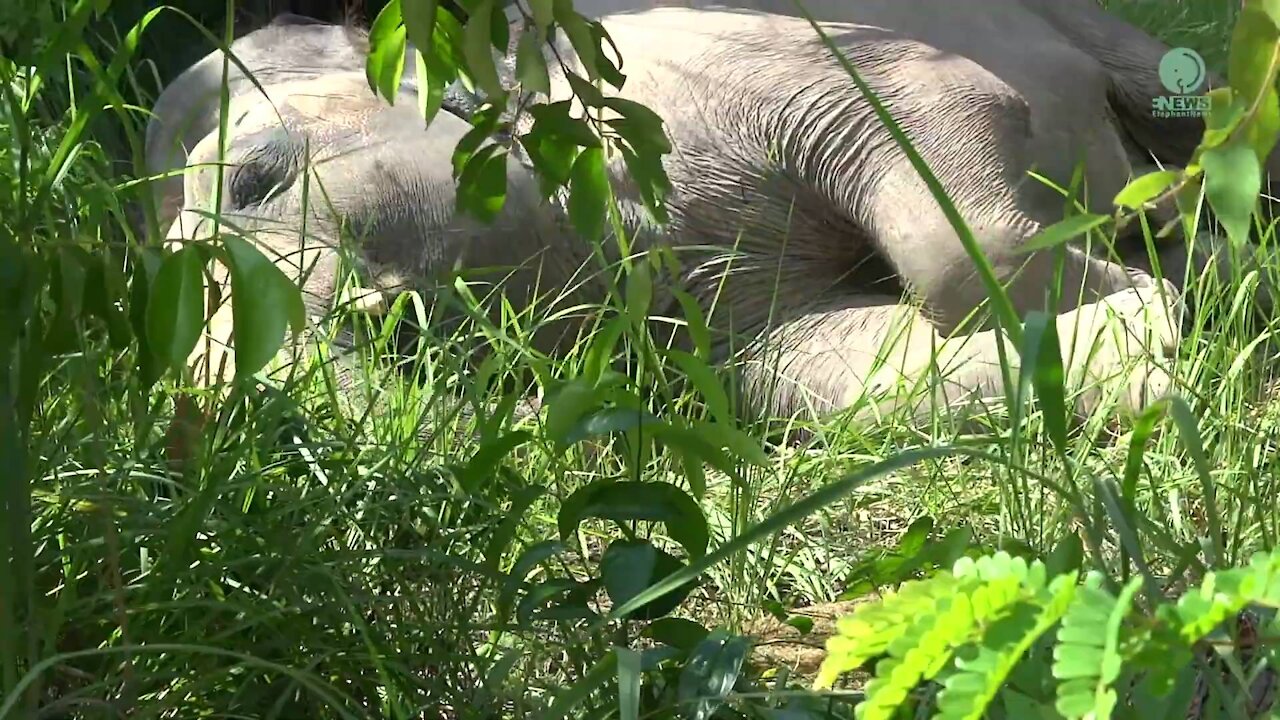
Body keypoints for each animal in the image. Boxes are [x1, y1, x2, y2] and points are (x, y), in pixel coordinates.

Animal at [145, 1, 1264, 430]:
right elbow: (828, 376)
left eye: (253, 176)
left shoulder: (772, 64)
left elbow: (940, 161)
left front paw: (1177, 285)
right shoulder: (718, 325)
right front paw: (1157, 322)